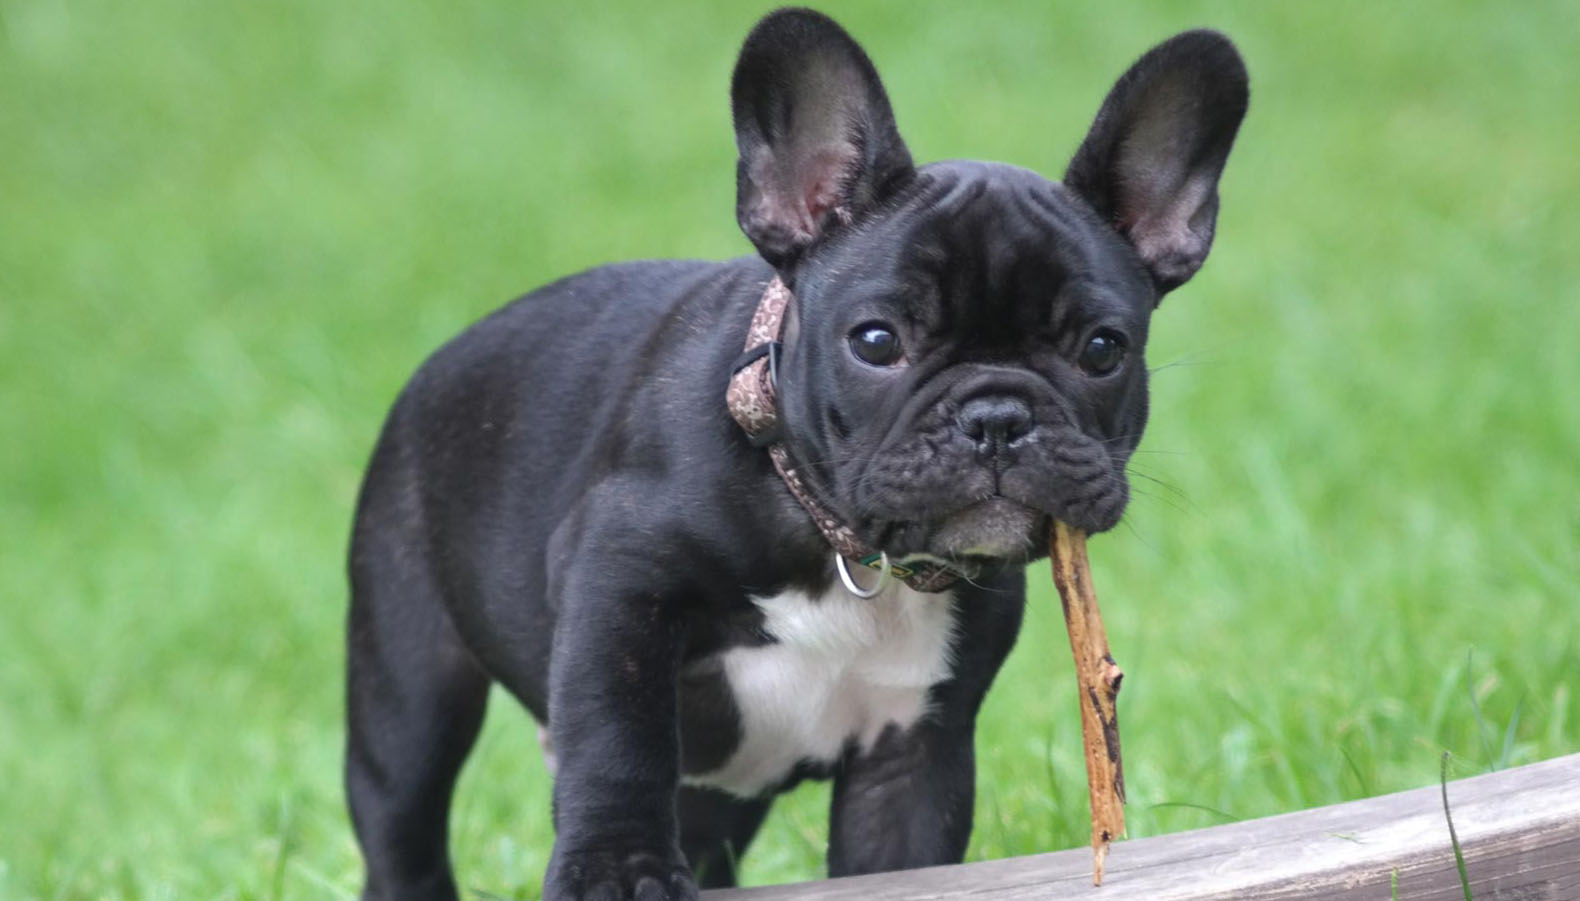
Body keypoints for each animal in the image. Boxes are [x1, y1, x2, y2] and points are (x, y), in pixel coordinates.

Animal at [346, 8, 1245, 897]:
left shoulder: (915, 750)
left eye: (1102, 349)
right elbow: (617, 736)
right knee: (403, 816)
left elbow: (903, 851)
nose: (997, 415)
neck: (837, 540)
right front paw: (619, 869)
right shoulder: (617, 580)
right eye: (876, 341)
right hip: (409, 687)